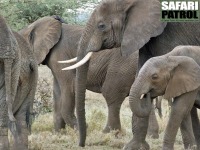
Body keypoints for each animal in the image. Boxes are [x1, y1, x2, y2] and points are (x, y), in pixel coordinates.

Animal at [19, 15, 160, 137]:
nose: (29, 133)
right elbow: (57, 92)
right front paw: (58, 134)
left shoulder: (60, 55)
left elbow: (69, 87)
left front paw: (80, 130)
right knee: (144, 98)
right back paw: (151, 136)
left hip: (122, 66)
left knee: (111, 95)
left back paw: (109, 134)